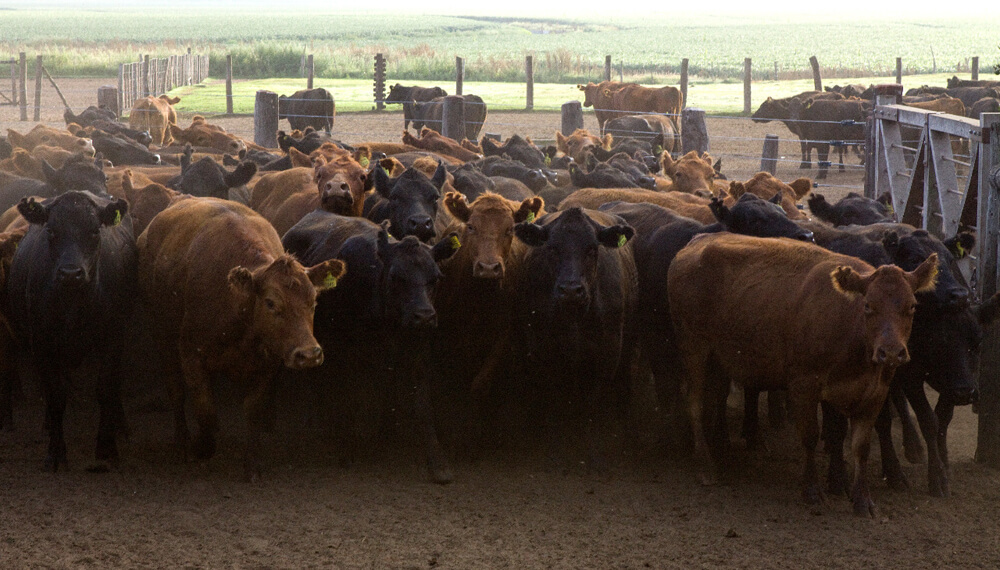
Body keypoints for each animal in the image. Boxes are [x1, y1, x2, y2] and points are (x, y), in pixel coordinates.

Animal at [6, 191, 136, 471]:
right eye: (51, 231)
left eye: (94, 231)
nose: (70, 273)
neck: (73, 303)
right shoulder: (42, 342)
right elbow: (56, 394)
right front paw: (56, 452)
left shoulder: (113, 336)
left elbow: (105, 387)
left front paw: (107, 447)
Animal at [137, 197, 344, 480]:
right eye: (270, 303)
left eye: (314, 300)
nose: (309, 354)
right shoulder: (191, 356)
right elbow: (206, 412)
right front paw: (201, 447)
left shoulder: (267, 365)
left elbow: (252, 411)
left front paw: (252, 464)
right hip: (162, 336)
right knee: (175, 391)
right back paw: (182, 443)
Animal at [281, 211, 460, 483]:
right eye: (396, 276)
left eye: (436, 278)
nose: (424, 316)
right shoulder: (345, 350)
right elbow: (347, 394)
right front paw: (347, 448)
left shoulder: (417, 348)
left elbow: (421, 403)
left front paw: (437, 462)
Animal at [668, 232, 937, 515]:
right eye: (867, 305)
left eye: (912, 306)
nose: (891, 352)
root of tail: (696, 243)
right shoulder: (804, 386)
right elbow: (809, 435)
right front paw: (812, 490)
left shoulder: (875, 393)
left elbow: (860, 446)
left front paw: (862, 499)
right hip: (693, 346)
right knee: (695, 402)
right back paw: (704, 464)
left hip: (719, 359)